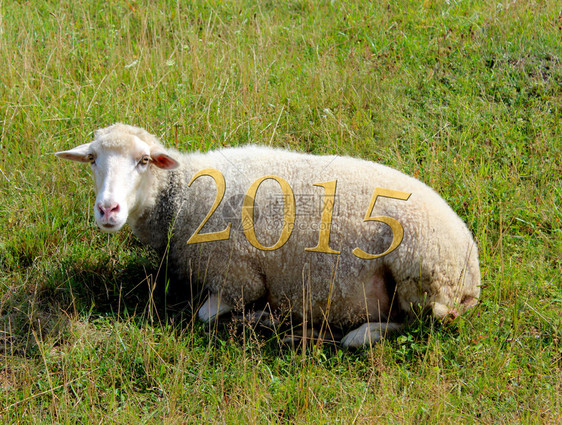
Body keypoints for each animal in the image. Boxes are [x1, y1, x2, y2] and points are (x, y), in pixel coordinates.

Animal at [54, 123, 480, 348]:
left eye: (144, 161)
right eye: (92, 159)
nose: (108, 210)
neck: (183, 198)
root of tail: (472, 271)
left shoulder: (236, 278)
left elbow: (205, 314)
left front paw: (258, 316)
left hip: (421, 274)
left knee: (420, 324)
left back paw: (350, 333)